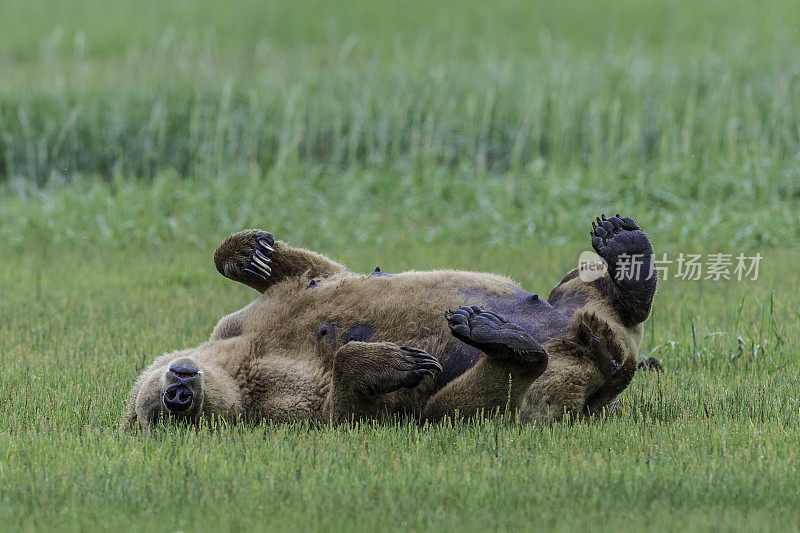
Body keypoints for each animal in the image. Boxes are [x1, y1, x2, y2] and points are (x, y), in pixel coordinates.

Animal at [125, 212, 656, 424]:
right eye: (154, 418)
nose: (177, 394)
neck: (237, 360)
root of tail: (610, 360)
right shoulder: (273, 398)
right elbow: (338, 405)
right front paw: (394, 361)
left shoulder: (252, 317)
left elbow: (312, 269)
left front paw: (251, 251)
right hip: (553, 389)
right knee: (468, 402)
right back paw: (499, 337)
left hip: (579, 312)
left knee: (584, 289)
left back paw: (624, 247)